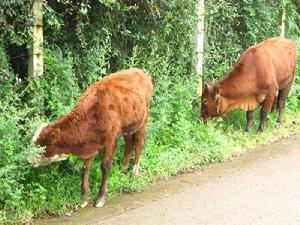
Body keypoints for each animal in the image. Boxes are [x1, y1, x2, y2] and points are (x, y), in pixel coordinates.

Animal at [29, 68, 154, 207]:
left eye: (41, 147)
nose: (28, 159)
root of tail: (141, 72)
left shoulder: (111, 139)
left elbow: (105, 166)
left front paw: (101, 197)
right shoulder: (89, 142)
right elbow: (86, 167)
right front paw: (84, 197)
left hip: (143, 120)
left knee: (139, 145)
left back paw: (134, 174)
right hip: (128, 127)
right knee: (128, 145)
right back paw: (123, 170)